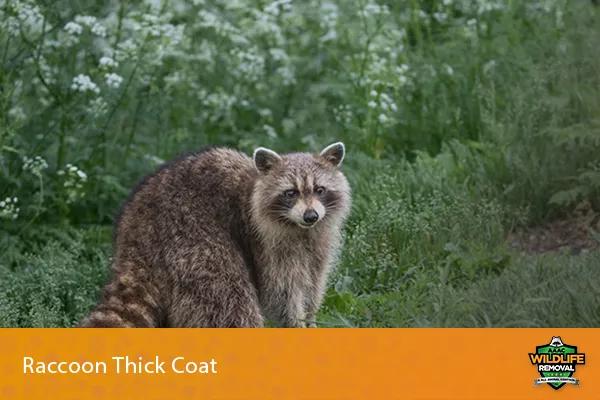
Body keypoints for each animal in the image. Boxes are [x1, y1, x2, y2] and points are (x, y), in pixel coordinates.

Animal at [78, 142, 352, 326]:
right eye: (291, 192)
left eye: (319, 189)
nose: (310, 216)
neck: (300, 229)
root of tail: (136, 232)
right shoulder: (268, 247)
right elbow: (282, 295)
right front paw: (295, 324)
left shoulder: (318, 245)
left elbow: (312, 287)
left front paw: (311, 320)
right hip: (192, 237)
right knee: (229, 299)